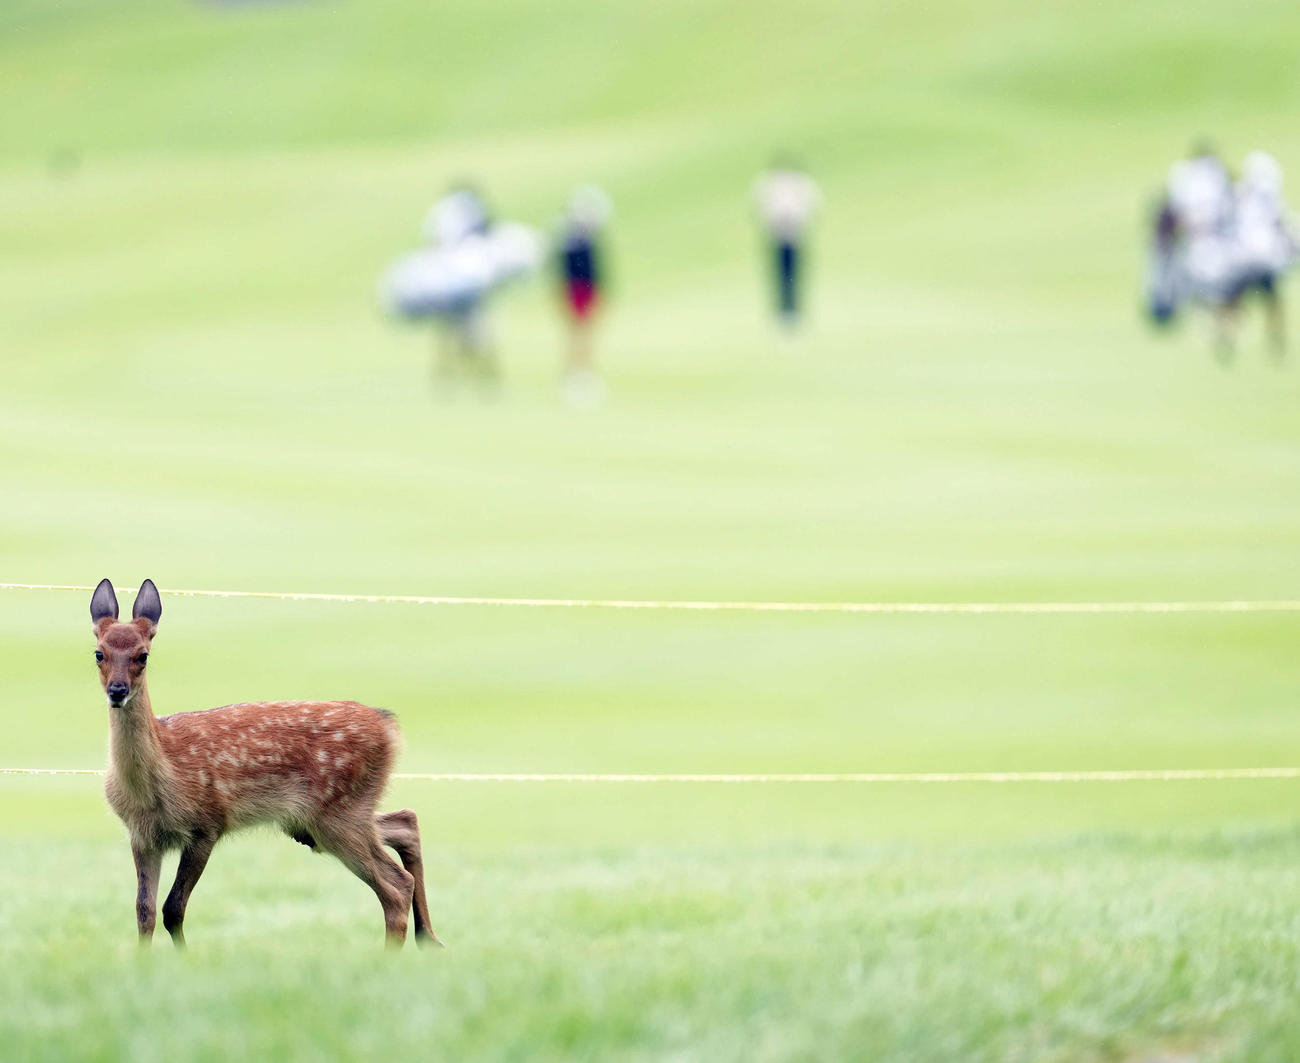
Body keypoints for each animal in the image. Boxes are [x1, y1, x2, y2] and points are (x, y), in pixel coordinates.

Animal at [89, 578, 441, 949]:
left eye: (143, 655)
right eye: (99, 653)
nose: (117, 690)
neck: (158, 778)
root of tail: (387, 726)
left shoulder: (208, 822)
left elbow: (173, 909)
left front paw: (186, 957)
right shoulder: (142, 836)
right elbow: (144, 912)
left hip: (339, 813)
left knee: (396, 885)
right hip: (322, 819)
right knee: (405, 823)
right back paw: (429, 937)